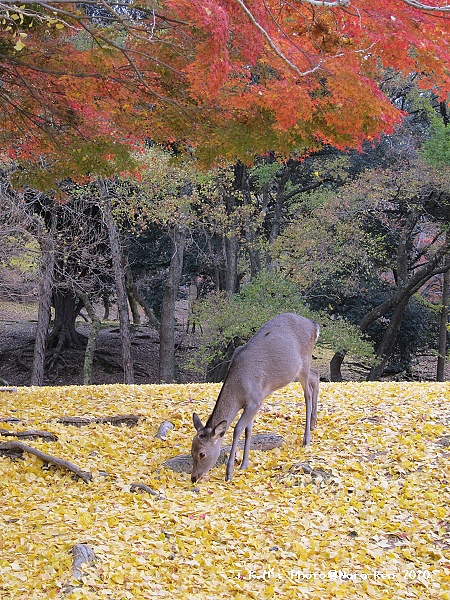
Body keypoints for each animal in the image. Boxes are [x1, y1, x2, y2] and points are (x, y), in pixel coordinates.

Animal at [190, 314, 320, 482]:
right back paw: (313, 423)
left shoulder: (256, 400)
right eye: (191, 449)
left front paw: (229, 472)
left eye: (202, 454)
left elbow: (238, 429)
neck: (239, 389)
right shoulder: (250, 405)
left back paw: (307, 438)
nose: (194, 478)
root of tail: (314, 325)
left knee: (308, 394)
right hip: (301, 370)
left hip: (304, 362)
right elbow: (248, 430)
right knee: (316, 375)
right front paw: (244, 464)